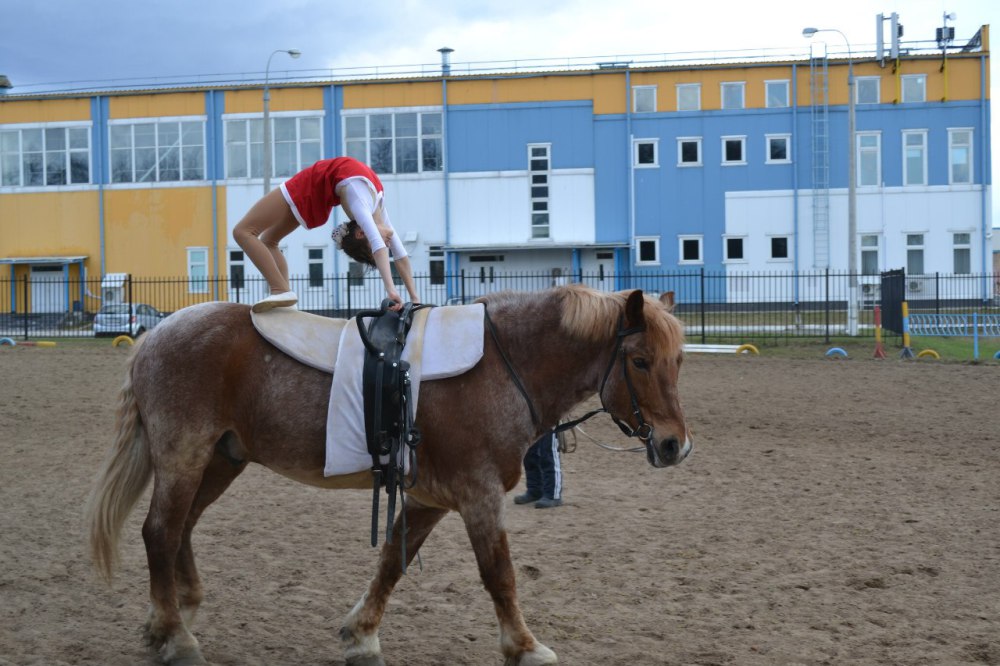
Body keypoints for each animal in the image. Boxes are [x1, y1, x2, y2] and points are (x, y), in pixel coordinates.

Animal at [86, 284, 692, 664]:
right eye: (640, 360)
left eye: (679, 360)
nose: (674, 445)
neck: (503, 363)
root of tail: (158, 333)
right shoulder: (478, 495)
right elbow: (499, 574)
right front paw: (523, 647)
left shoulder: (430, 497)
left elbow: (390, 564)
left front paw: (360, 636)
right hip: (185, 455)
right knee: (160, 532)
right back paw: (176, 637)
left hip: (220, 460)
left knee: (181, 529)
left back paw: (173, 614)